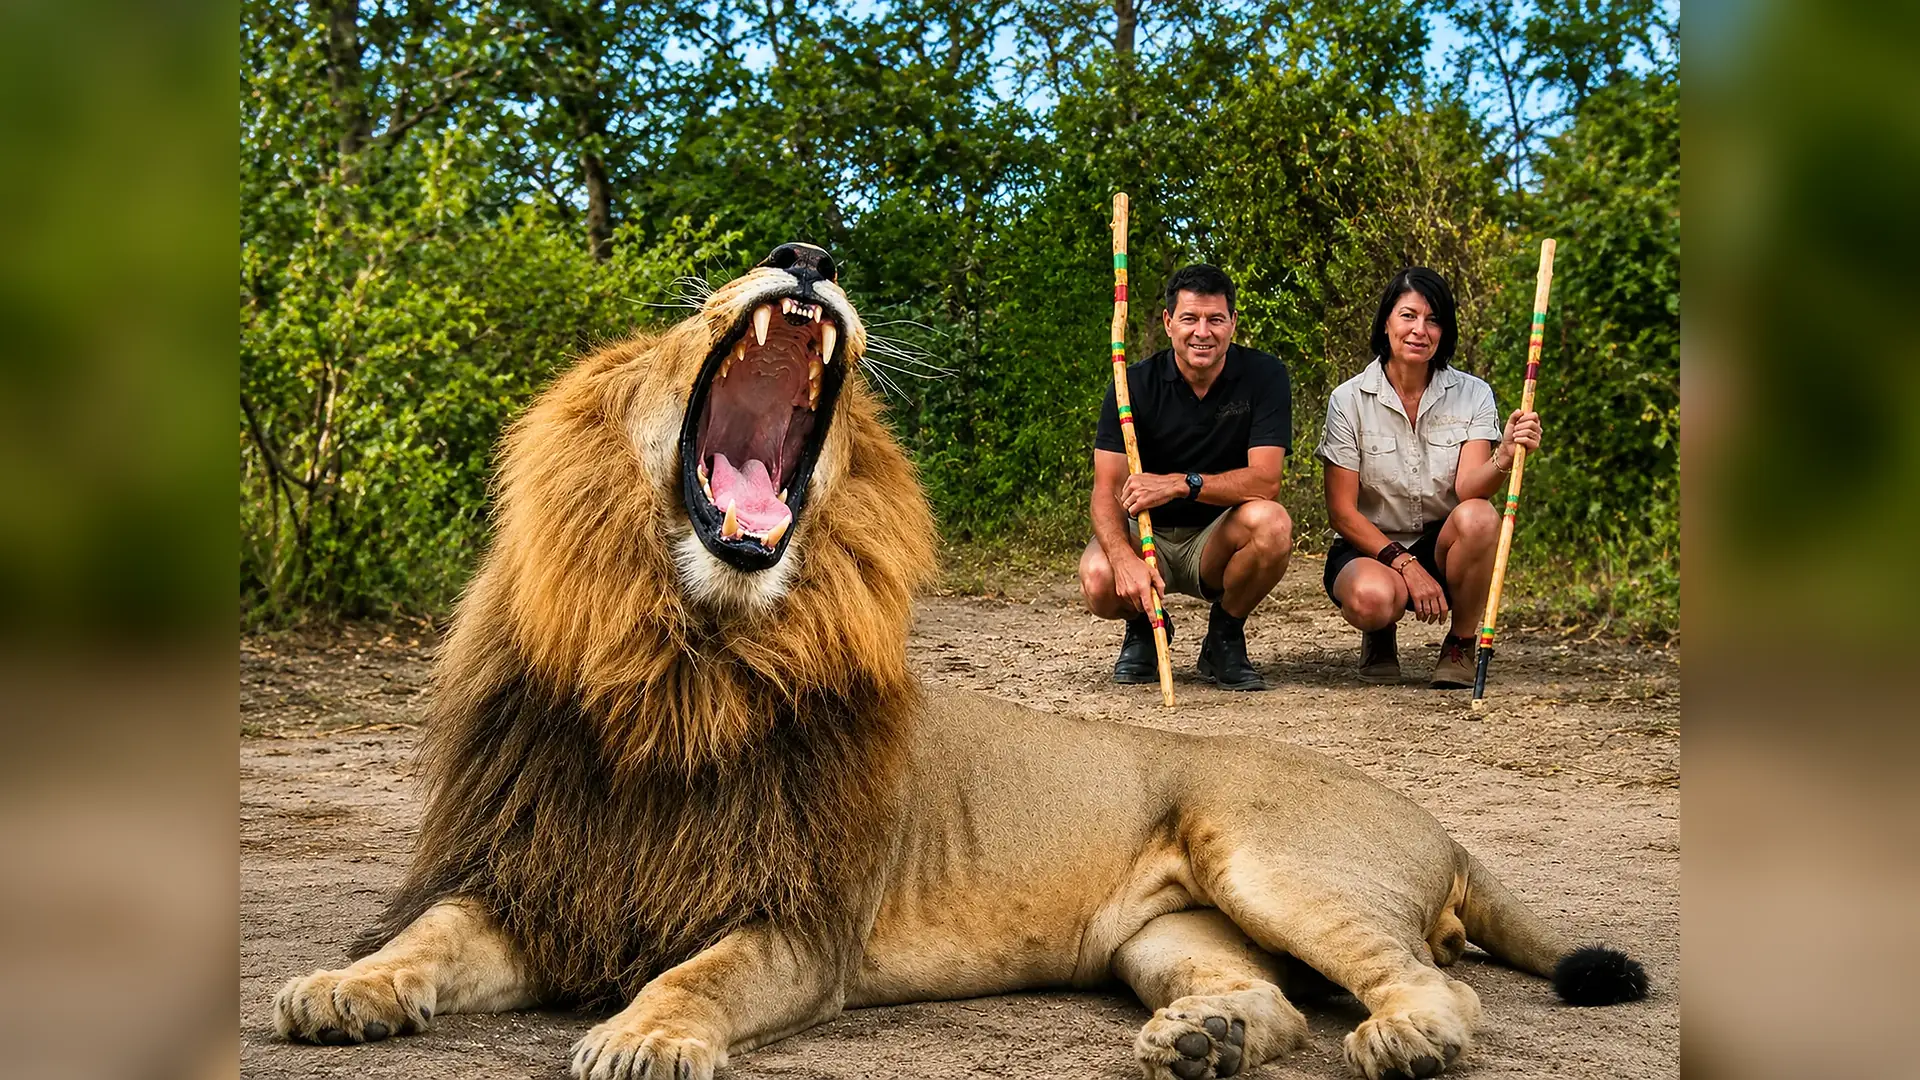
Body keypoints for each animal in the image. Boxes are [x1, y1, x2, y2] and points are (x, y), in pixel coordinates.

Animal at [273, 242, 1648, 1080]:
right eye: (683, 323)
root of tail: (1446, 827)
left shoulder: (798, 926)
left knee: (1437, 994)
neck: (684, 666)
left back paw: (1400, 1041)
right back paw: (1200, 1039)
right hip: (1167, 932)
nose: (809, 259)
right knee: (1264, 1000)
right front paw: (339, 987)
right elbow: (428, 935)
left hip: (1267, 859)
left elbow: (696, 976)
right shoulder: (541, 879)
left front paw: (642, 1038)